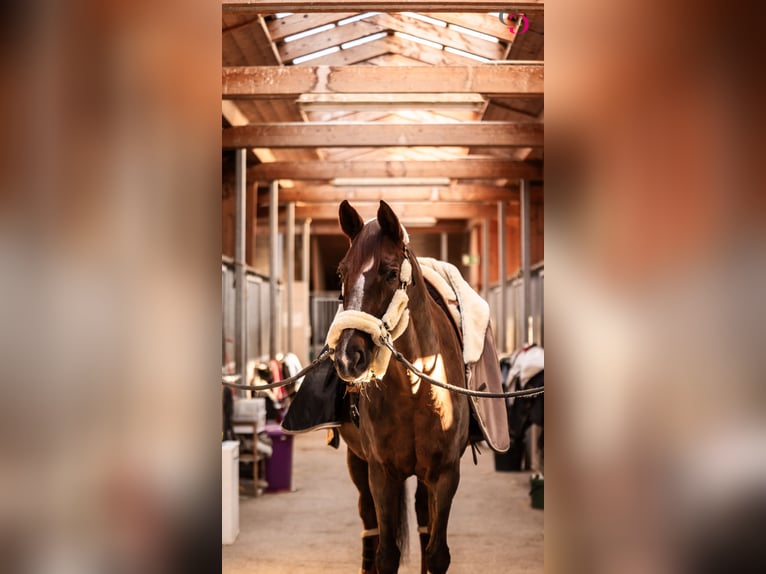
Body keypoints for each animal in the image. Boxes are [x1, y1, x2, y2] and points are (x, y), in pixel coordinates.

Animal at [332, 200, 471, 574]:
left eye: (391, 272)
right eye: (341, 273)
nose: (348, 357)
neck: (414, 390)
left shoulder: (446, 474)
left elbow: (437, 553)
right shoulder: (382, 474)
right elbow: (386, 554)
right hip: (357, 463)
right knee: (369, 525)